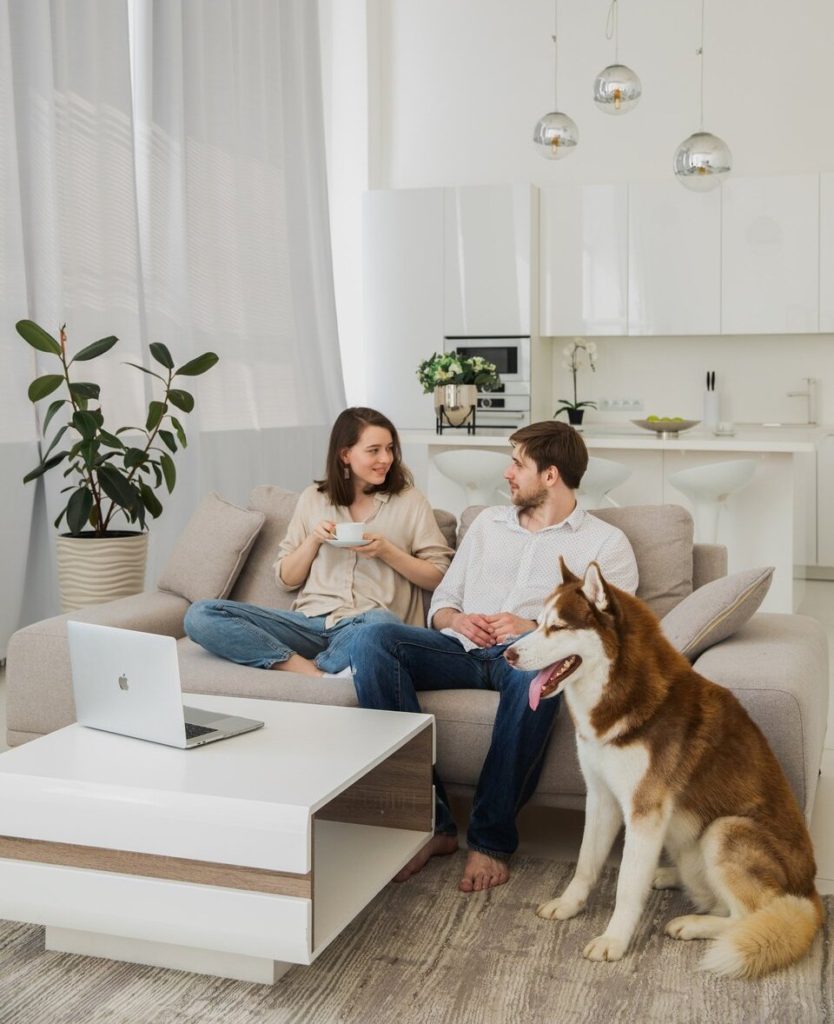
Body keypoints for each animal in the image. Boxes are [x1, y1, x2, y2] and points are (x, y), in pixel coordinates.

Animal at [506, 561, 827, 974]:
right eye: (538, 621)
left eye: (557, 627)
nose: (508, 654)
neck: (624, 695)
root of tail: (811, 892)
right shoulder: (601, 797)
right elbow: (585, 863)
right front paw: (569, 904)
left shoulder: (645, 811)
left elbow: (627, 886)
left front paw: (614, 940)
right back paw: (669, 876)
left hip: (725, 830)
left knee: (748, 915)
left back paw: (692, 924)